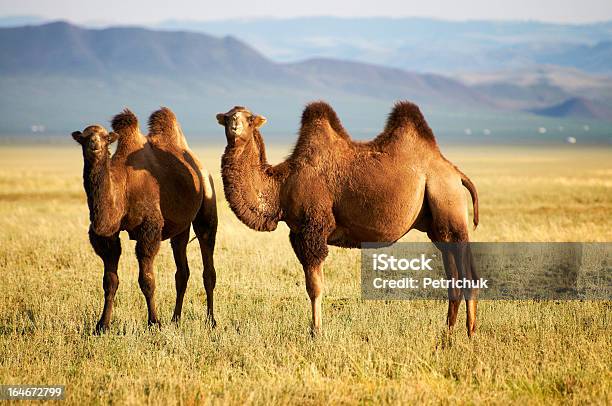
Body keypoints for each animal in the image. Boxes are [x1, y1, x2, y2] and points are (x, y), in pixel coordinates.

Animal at [71, 108, 218, 334]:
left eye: (105, 138)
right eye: (84, 137)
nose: (94, 144)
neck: (122, 186)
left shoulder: (149, 229)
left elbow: (147, 280)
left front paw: (154, 323)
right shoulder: (108, 236)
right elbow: (109, 281)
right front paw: (102, 325)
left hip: (207, 204)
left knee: (208, 263)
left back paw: (211, 321)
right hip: (180, 228)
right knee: (182, 272)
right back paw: (175, 319)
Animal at [218, 100, 480, 336]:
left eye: (250, 118)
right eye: (228, 116)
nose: (234, 125)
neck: (281, 185)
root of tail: (456, 173)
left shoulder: (313, 229)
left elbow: (315, 287)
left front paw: (316, 332)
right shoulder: (297, 234)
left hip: (448, 204)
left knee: (468, 274)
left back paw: (469, 334)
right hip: (439, 227)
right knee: (455, 278)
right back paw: (448, 334)